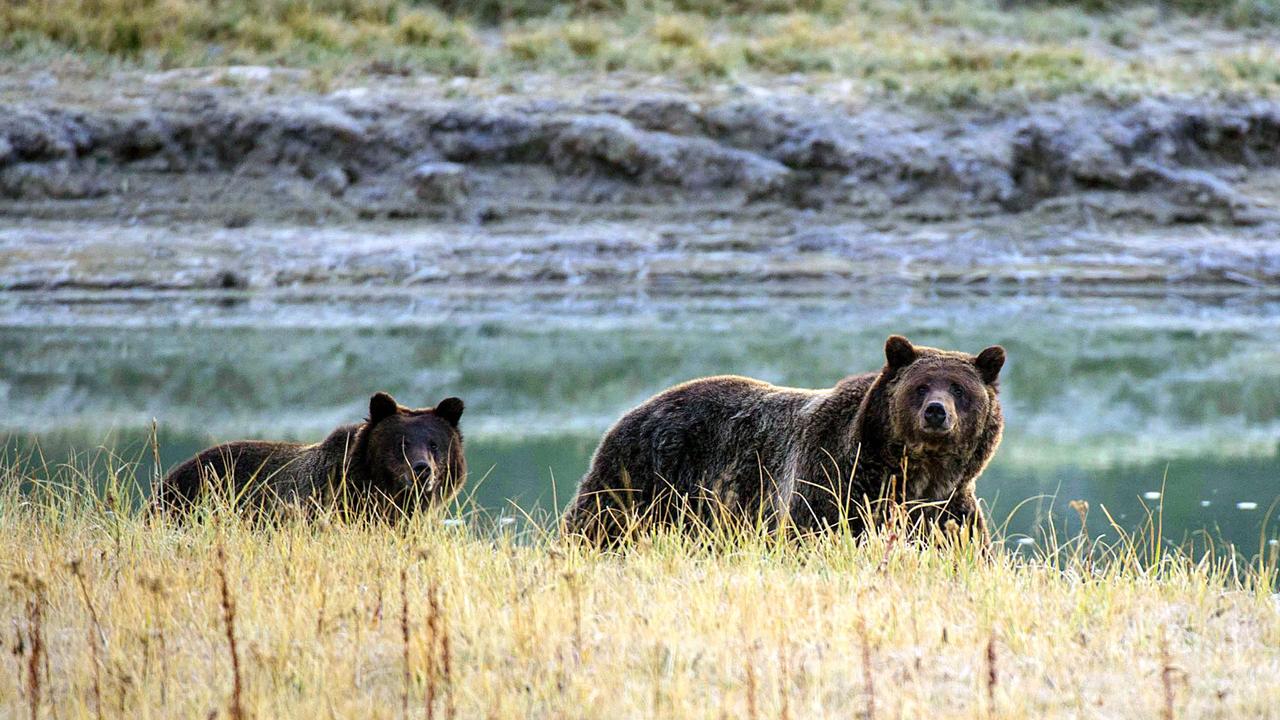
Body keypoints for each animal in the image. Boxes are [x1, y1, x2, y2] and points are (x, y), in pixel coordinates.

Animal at [565, 335, 1003, 543]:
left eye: (959, 388)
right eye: (921, 385)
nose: (936, 411)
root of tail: (632, 410)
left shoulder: (946, 508)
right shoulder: (832, 483)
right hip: (642, 477)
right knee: (598, 524)